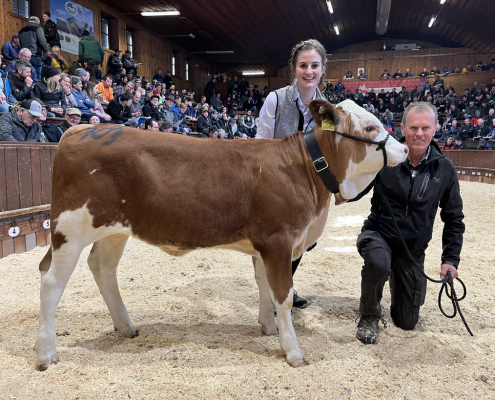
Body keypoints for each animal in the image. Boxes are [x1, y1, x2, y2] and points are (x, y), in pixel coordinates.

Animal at [34, 100, 406, 372]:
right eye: (371, 127)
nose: (404, 150)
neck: (304, 170)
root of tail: (81, 128)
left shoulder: (264, 245)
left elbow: (264, 286)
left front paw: (268, 328)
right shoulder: (279, 239)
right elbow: (283, 294)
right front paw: (293, 351)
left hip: (114, 230)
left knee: (102, 268)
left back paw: (126, 327)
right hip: (70, 228)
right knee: (51, 281)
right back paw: (46, 353)